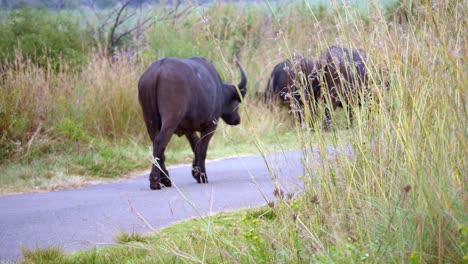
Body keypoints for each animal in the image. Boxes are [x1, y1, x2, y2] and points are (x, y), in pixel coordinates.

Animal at [138, 56, 249, 190]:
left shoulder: (188, 130)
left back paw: (165, 179)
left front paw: (195, 172)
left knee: (157, 145)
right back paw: (155, 180)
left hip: (150, 120)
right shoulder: (210, 126)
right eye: (236, 101)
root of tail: (157, 70)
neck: (218, 89)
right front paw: (202, 175)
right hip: (171, 119)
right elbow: (202, 148)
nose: (237, 119)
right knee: (160, 142)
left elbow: (195, 145)